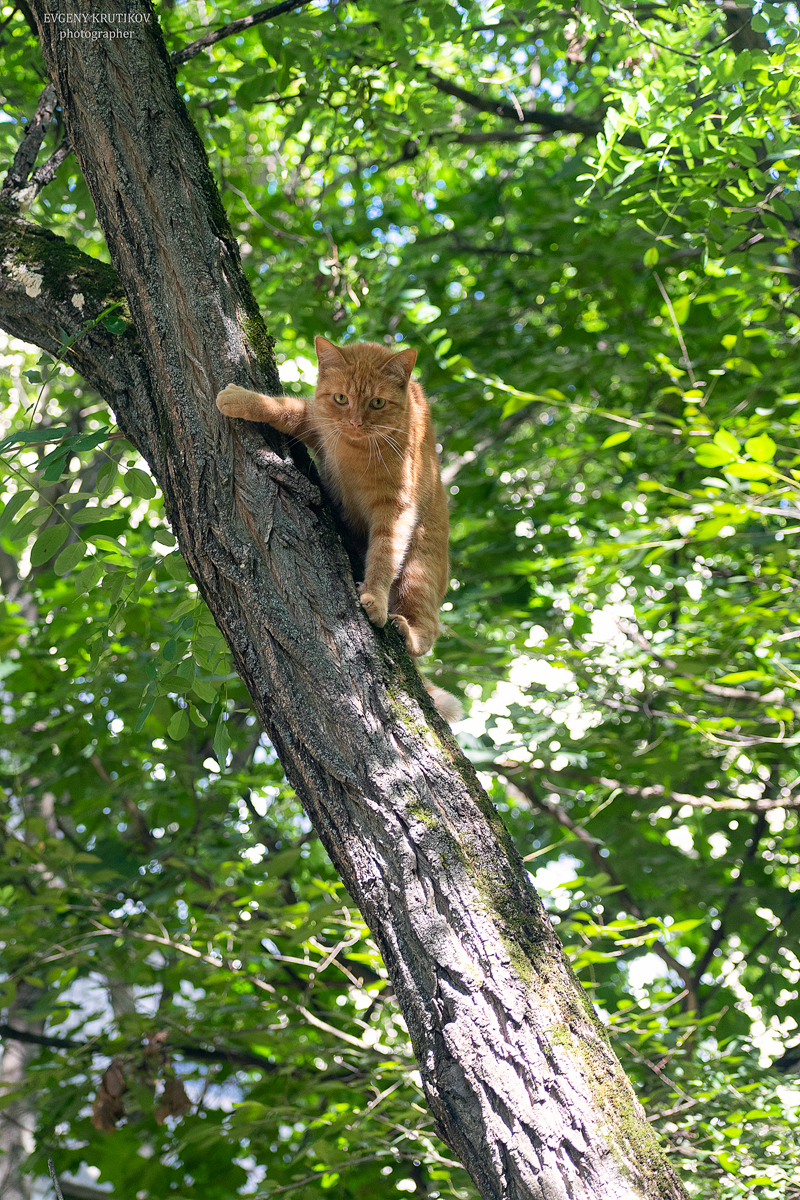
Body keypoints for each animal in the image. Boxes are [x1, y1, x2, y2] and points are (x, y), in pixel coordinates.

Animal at [217, 338, 462, 720]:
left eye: (377, 403)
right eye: (341, 398)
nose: (355, 422)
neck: (356, 452)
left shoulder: (396, 511)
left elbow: (384, 555)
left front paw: (374, 597)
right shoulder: (315, 423)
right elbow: (283, 407)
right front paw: (241, 399)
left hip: (419, 574)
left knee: (429, 627)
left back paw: (406, 631)